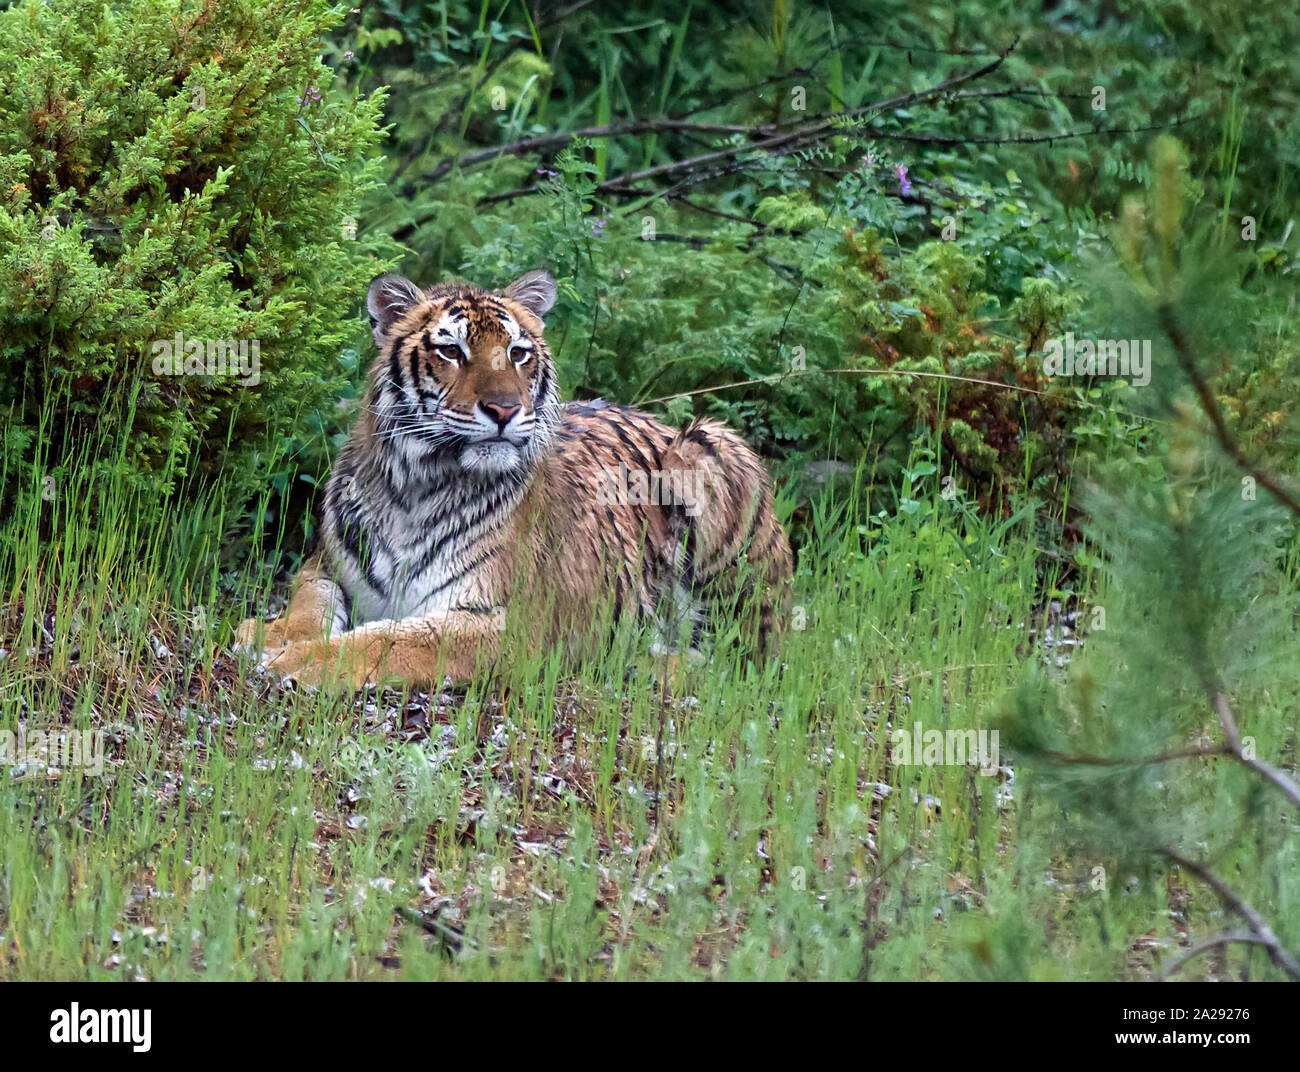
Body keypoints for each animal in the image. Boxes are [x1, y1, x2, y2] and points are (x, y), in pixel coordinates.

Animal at [236, 267, 790, 686]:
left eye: (518, 353)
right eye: (451, 351)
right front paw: (267, 635)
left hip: (707, 446)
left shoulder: (515, 622)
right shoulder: (325, 565)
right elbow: (309, 602)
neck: (414, 488)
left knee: (740, 660)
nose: (504, 410)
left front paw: (299, 661)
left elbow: (390, 640)